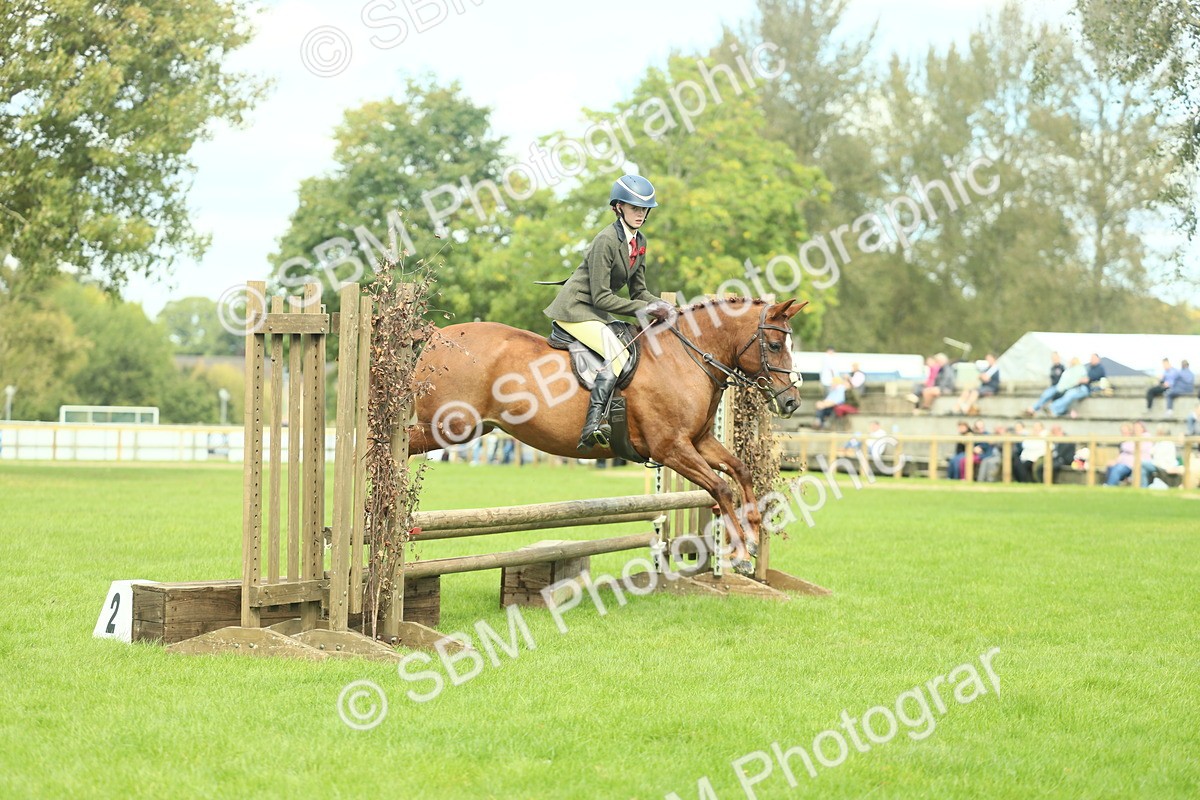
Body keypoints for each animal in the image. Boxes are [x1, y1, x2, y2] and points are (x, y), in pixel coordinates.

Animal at [407, 297, 805, 575]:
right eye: (774, 346)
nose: (791, 402)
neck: (685, 358)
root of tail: (437, 336)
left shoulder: (699, 442)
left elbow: (740, 470)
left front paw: (752, 537)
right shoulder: (672, 449)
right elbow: (721, 488)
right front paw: (739, 554)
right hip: (448, 426)